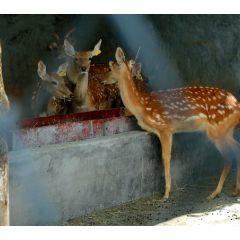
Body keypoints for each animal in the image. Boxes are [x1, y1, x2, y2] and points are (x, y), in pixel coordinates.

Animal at [101, 46, 240, 201]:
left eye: (109, 68)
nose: (101, 80)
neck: (142, 106)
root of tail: (237, 105)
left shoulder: (165, 128)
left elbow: (165, 157)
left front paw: (166, 193)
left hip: (217, 129)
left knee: (228, 156)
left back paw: (215, 192)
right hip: (226, 130)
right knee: (236, 149)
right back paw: (234, 190)